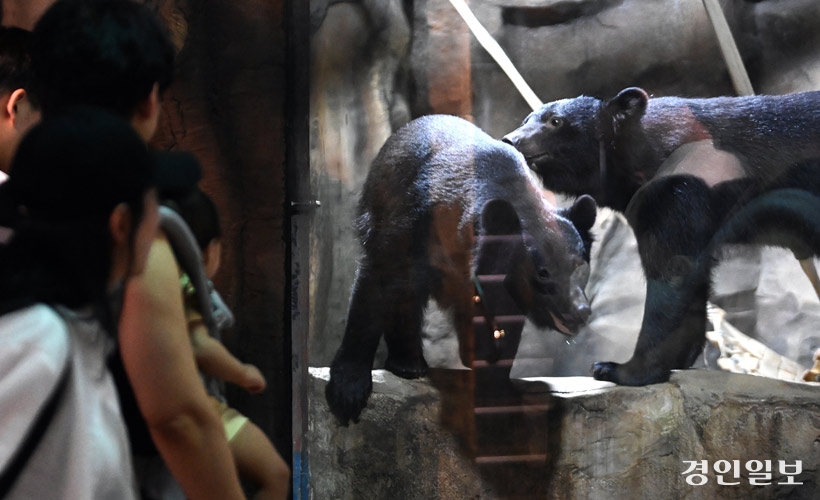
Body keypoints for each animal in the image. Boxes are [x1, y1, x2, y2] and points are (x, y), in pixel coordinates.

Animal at [326, 115, 596, 424]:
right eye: (543, 272)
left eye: (582, 267)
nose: (580, 312)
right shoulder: (413, 218)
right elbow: (379, 279)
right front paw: (348, 391)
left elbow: (504, 324)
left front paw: (496, 391)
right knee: (404, 292)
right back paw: (409, 363)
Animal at [502, 88, 820, 386]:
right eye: (526, 119)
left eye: (555, 121)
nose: (510, 139)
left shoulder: (680, 187)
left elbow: (672, 271)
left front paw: (616, 368)